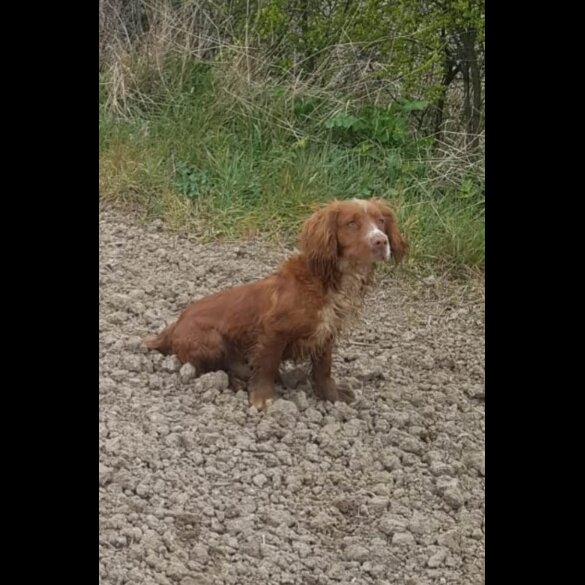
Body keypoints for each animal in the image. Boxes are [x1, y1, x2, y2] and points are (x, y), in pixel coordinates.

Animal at [145, 198, 406, 408]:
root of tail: (174, 326)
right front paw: (263, 399)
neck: (325, 281)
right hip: (212, 341)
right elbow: (268, 366)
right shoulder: (273, 332)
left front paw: (331, 396)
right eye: (351, 223)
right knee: (206, 368)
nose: (381, 241)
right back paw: (236, 381)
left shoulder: (327, 333)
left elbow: (324, 369)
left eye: (381, 221)